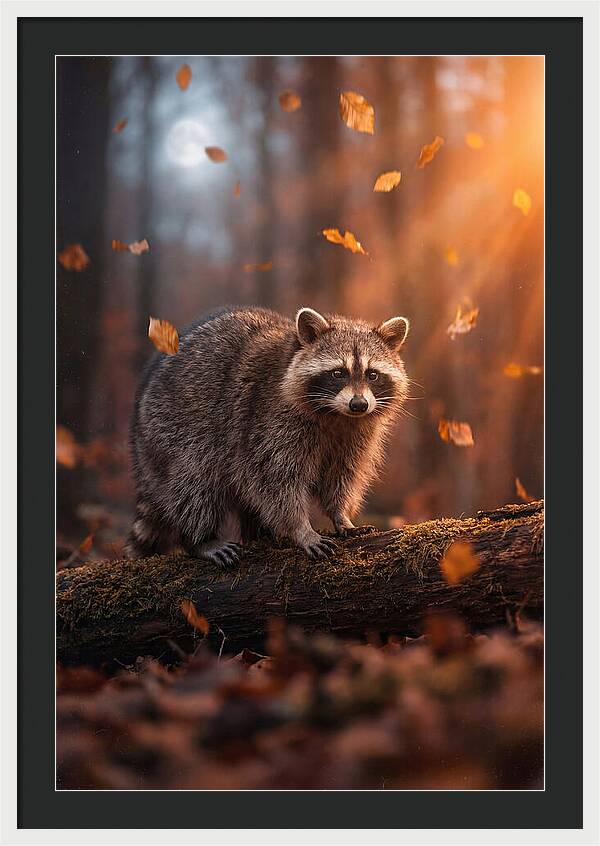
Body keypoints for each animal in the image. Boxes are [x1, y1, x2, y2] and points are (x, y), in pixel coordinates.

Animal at [127, 306, 410, 565]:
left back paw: (258, 534)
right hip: (172, 430)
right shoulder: (267, 421)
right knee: (194, 483)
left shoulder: (355, 435)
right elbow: (275, 480)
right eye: (338, 373)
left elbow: (341, 476)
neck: (336, 415)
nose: (359, 404)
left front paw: (341, 515)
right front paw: (301, 528)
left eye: (372, 375)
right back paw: (200, 539)